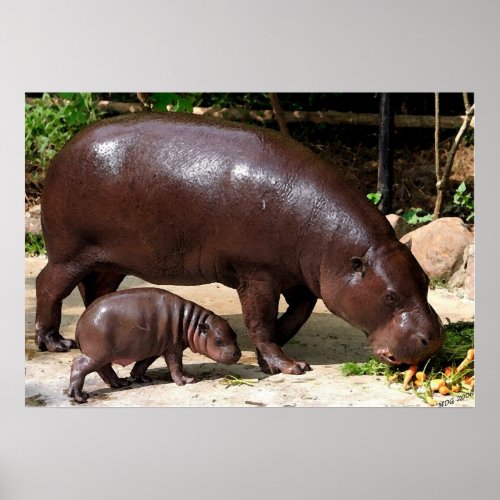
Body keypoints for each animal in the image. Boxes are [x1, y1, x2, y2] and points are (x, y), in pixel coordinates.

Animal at [35, 110, 444, 376]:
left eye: (425, 283)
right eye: (390, 296)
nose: (434, 339)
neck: (335, 245)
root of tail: (63, 150)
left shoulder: (296, 276)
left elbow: (297, 312)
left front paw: (274, 350)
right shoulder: (258, 274)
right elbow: (260, 320)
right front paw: (289, 366)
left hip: (111, 260)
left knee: (96, 290)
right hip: (70, 252)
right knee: (48, 285)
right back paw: (54, 343)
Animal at [69, 288, 241, 404]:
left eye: (235, 334)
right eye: (218, 341)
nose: (237, 354)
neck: (191, 322)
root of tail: (79, 323)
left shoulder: (155, 348)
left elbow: (143, 364)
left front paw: (142, 378)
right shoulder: (173, 347)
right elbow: (176, 365)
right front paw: (186, 381)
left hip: (102, 354)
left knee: (104, 369)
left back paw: (121, 383)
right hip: (98, 353)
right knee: (79, 365)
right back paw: (80, 397)